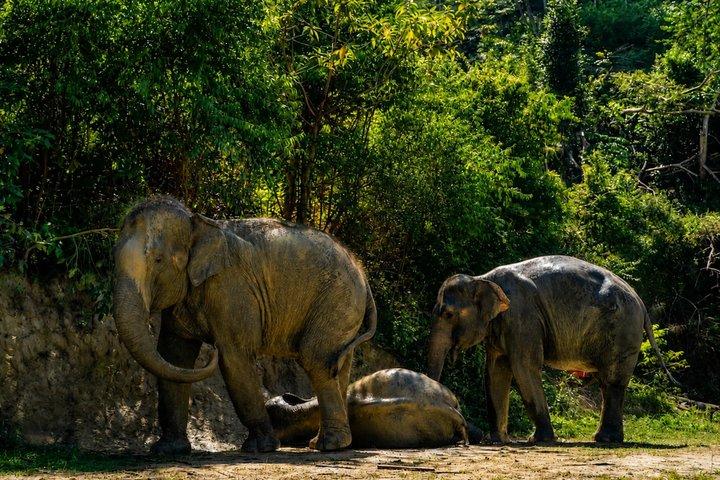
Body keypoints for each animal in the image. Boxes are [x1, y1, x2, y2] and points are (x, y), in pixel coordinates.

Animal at [112, 196, 376, 453]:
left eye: (158, 259)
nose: (211, 352)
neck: (197, 222)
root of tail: (362, 273)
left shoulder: (231, 288)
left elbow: (234, 358)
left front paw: (261, 447)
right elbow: (174, 356)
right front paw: (168, 450)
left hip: (338, 300)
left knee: (316, 361)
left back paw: (328, 446)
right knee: (337, 365)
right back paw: (331, 443)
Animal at [427, 255, 675, 444]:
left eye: (448, 314)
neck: (482, 279)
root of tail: (641, 303)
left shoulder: (522, 316)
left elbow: (524, 366)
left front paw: (538, 440)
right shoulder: (502, 325)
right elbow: (495, 371)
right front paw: (498, 440)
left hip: (623, 328)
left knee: (612, 382)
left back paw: (605, 440)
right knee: (609, 383)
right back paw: (605, 439)